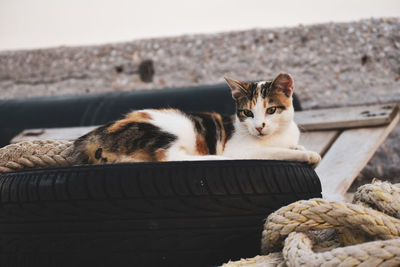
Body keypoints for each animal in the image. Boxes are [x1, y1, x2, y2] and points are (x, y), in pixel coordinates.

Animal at [72, 72, 322, 166]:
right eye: (247, 113)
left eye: (271, 110)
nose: (259, 127)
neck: (277, 134)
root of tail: (94, 135)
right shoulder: (243, 150)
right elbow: (278, 152)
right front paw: (308, 155)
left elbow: (292, 146)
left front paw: (299, 148)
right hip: (175, 127)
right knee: (170, 157)